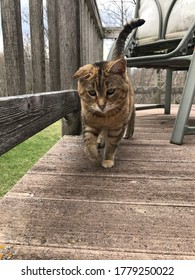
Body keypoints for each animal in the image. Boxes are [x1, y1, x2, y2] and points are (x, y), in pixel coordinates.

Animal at [73, 19, 145, 168]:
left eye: (110, 91)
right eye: (92, 92)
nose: (101, 105)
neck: (104, 117)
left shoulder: (117, 128)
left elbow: (112, 145)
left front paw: (107, 159)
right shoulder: (89, 124)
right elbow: (88, 142)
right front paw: (94, 156)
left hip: (130, 108)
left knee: (133, 113)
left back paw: (129, 132)